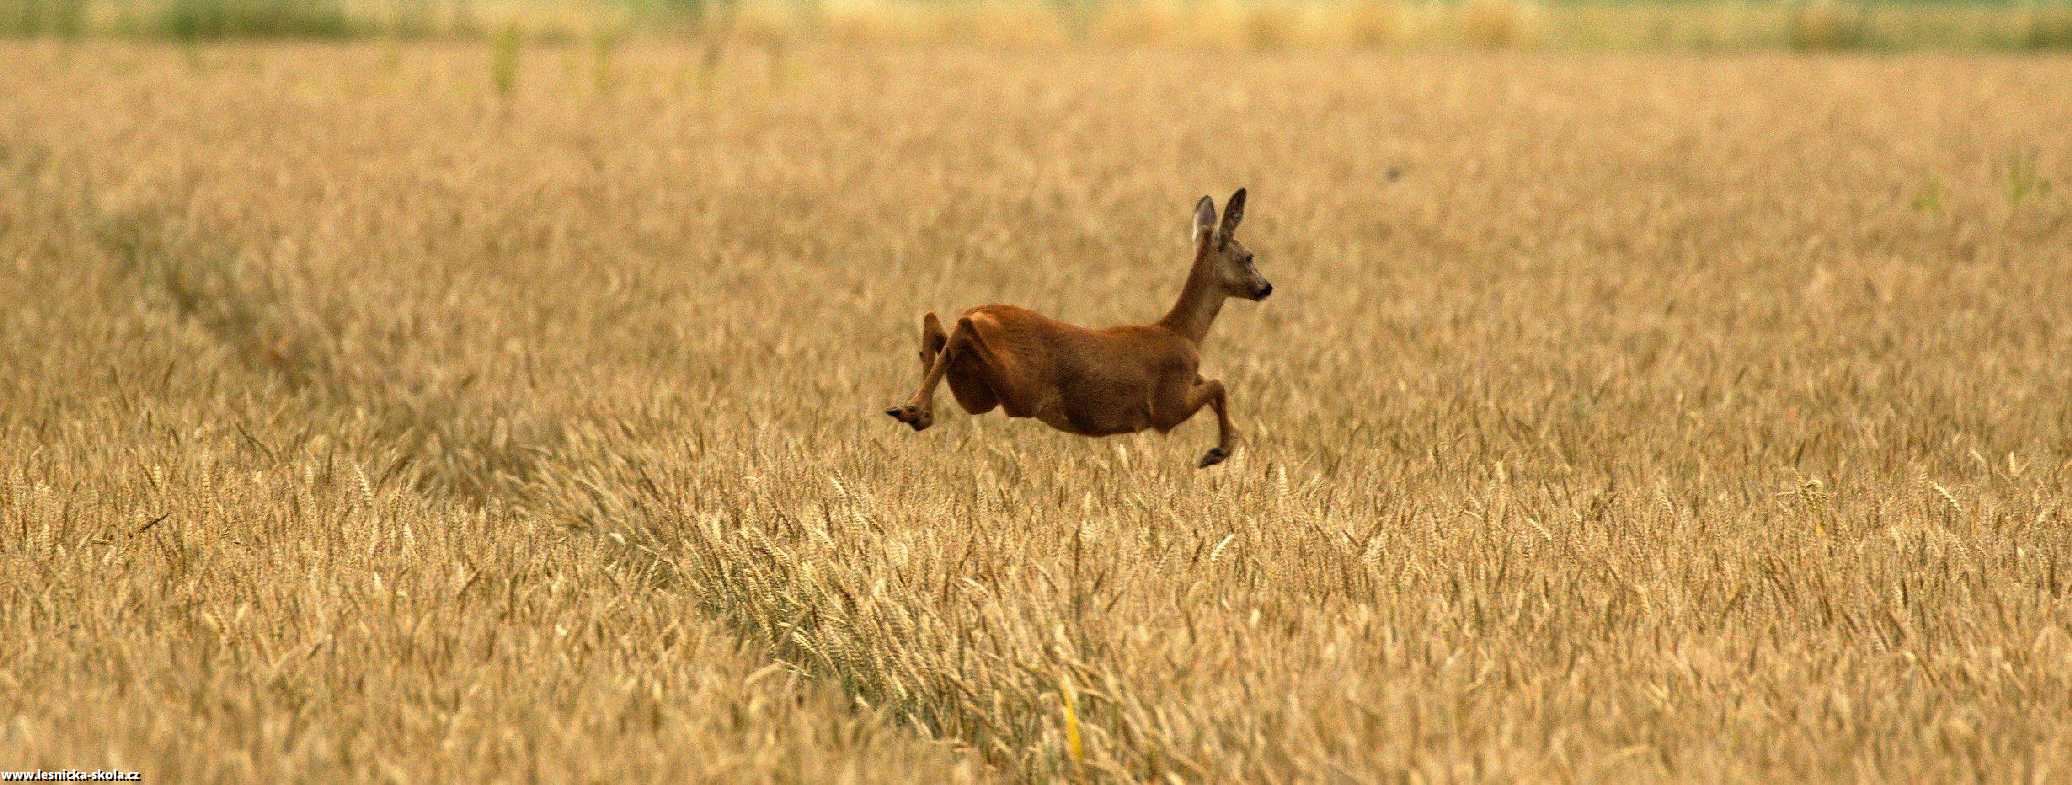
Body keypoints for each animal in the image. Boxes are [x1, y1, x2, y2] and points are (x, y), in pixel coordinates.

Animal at [886, 187, 1268, 470]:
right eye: (1249, 256)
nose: (1267, 287)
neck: (1183, 333)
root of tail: (982, 311)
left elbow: (1215, 387)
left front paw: (1223, 448)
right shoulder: (1166, 408)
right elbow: (1219, 385)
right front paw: (1217, 452)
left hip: (978, 391)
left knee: (937, 324)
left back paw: (912, 409)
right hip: (1020, 388)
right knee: (959, 327)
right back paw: (915, 409)